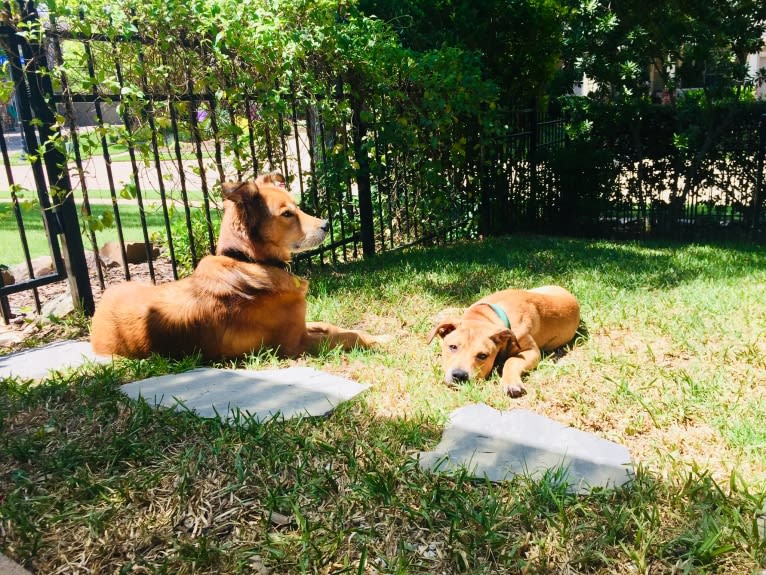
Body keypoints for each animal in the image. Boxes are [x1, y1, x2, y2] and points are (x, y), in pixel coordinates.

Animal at [91, 171, 390, 360]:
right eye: (287, 214)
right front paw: (375, 341)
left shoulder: (304, 325)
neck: (249, 260)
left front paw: (374, 334)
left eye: (297, 206)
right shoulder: (295, 343)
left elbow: (334, 327)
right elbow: (345, 337)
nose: (327, 225)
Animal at [426, 286, 584, 398]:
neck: (485, 316)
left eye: (483, 356)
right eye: (452, 347)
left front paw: (511, 383)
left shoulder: (531, 351)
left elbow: (511, 361)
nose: (459, 376)